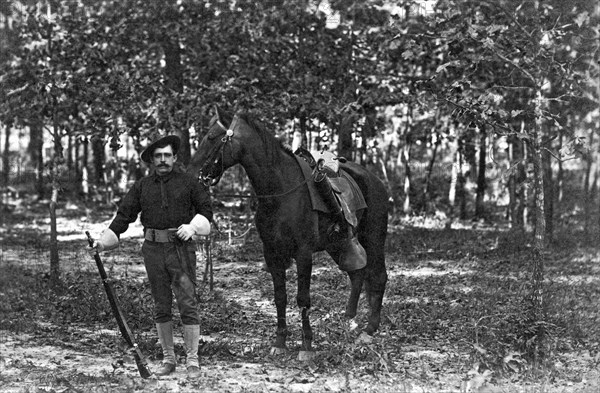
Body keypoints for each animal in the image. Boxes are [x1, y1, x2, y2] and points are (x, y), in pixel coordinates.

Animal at [190, 107, 392, 358]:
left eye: (211, 137)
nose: (194, 173)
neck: (280, 190)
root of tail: (375, 181)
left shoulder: (303, 254)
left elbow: (302, 299)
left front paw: (306, 345)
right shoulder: (272, 254)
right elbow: (280, 297)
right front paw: (280, 341)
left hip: (373, 238)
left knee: (378, 277)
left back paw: (369, 330)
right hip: (340, 244)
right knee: (358, 273)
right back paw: (350, 320)